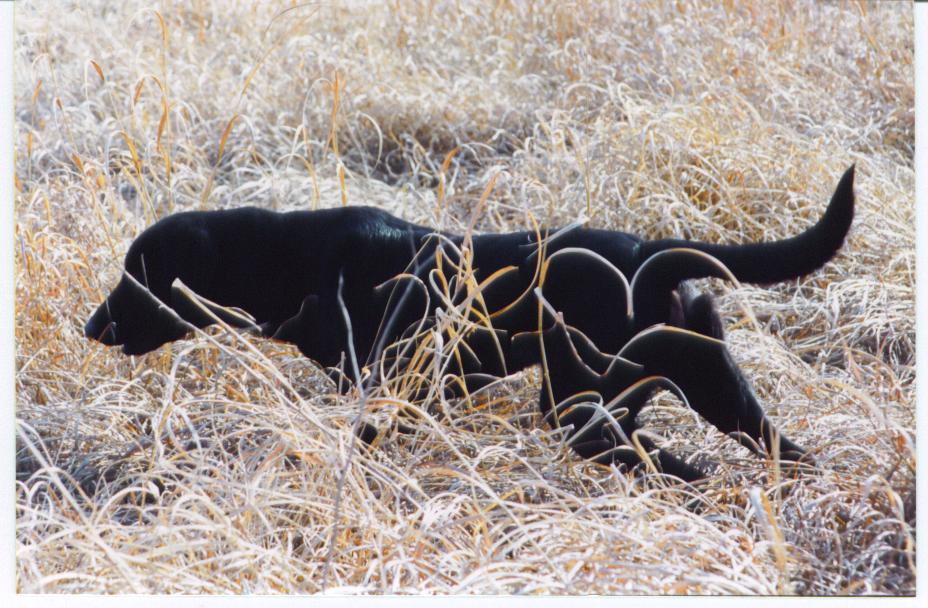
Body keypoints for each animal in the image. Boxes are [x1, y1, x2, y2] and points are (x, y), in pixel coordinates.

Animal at [87, 166, 856, 480]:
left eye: (136, 276)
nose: (90, 327)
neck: (290, 259)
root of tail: (652, 256)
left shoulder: (383, 395)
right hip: (711, 386)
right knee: (770, 451)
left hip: (580, 405)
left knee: (670, 465)